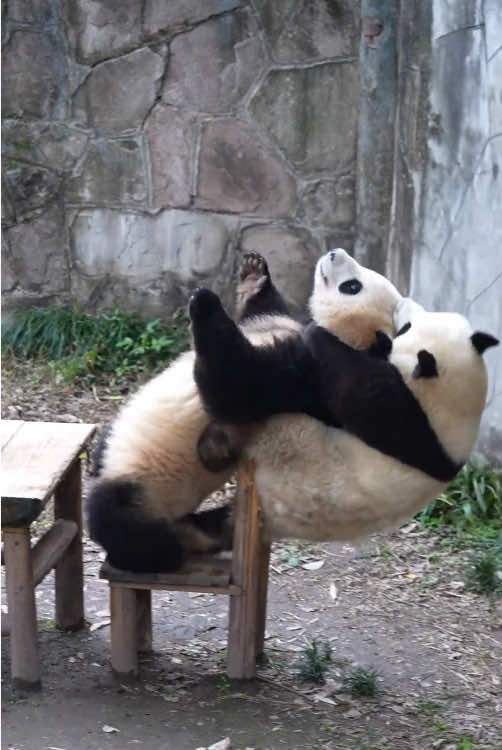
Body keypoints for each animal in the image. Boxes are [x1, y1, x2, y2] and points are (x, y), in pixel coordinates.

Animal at [87, 249, 402, 572]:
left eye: (352, 287)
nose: (334, 252)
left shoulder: (312, 372)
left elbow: (232, 387)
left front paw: (205, 302)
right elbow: (260, 311)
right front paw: (254, 273)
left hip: (144, 490)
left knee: (119, 519)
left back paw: (164, 547)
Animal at [190, 286, 499, 542]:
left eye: (405, 329)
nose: (404, 301)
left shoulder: (409, 420)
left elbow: (355, 392)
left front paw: (317, 332)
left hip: (286, 439)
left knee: (247, 385)